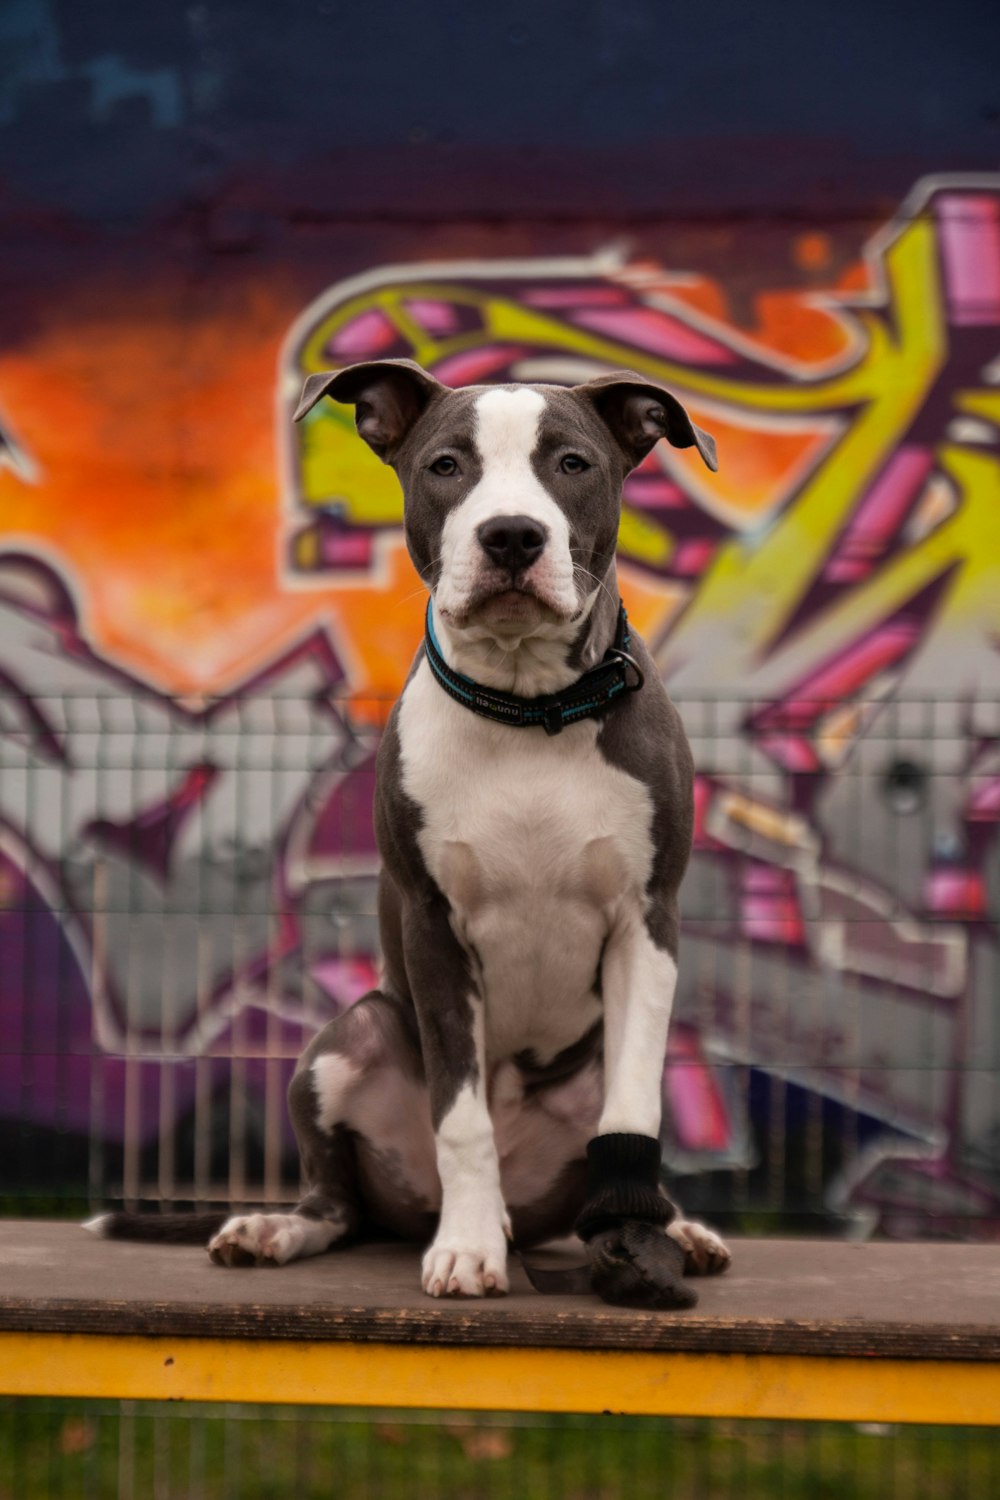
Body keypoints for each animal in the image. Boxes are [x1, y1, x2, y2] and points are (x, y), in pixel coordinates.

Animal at [91, 360, 728, 1302]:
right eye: (446, 465)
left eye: (573, 463)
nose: (511, 536)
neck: (529, 708)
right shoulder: (434, 927)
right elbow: (460, 1116)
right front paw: (466, 1249)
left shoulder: (648, 921)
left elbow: (634, 1109)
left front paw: (639, 1234)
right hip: (346, 1040)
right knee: (339, 1206)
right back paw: (280, 1227)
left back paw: (674, 1226)